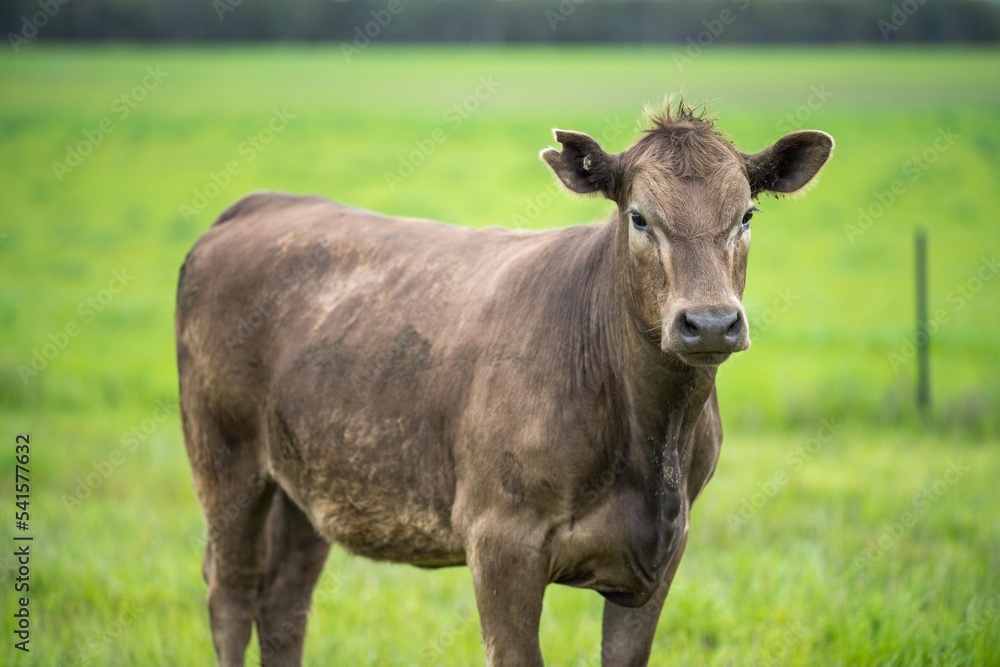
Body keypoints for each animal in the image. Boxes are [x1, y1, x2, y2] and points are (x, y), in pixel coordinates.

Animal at [176, 102, 832, 664]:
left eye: (746, 215)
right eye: (639, 217)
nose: (710, 322)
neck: (651, 441)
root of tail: (263, 203)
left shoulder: (662, 550)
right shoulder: (499, 540)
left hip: (307, 481)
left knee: (284, 599)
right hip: (225, 457)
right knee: (230, 591)